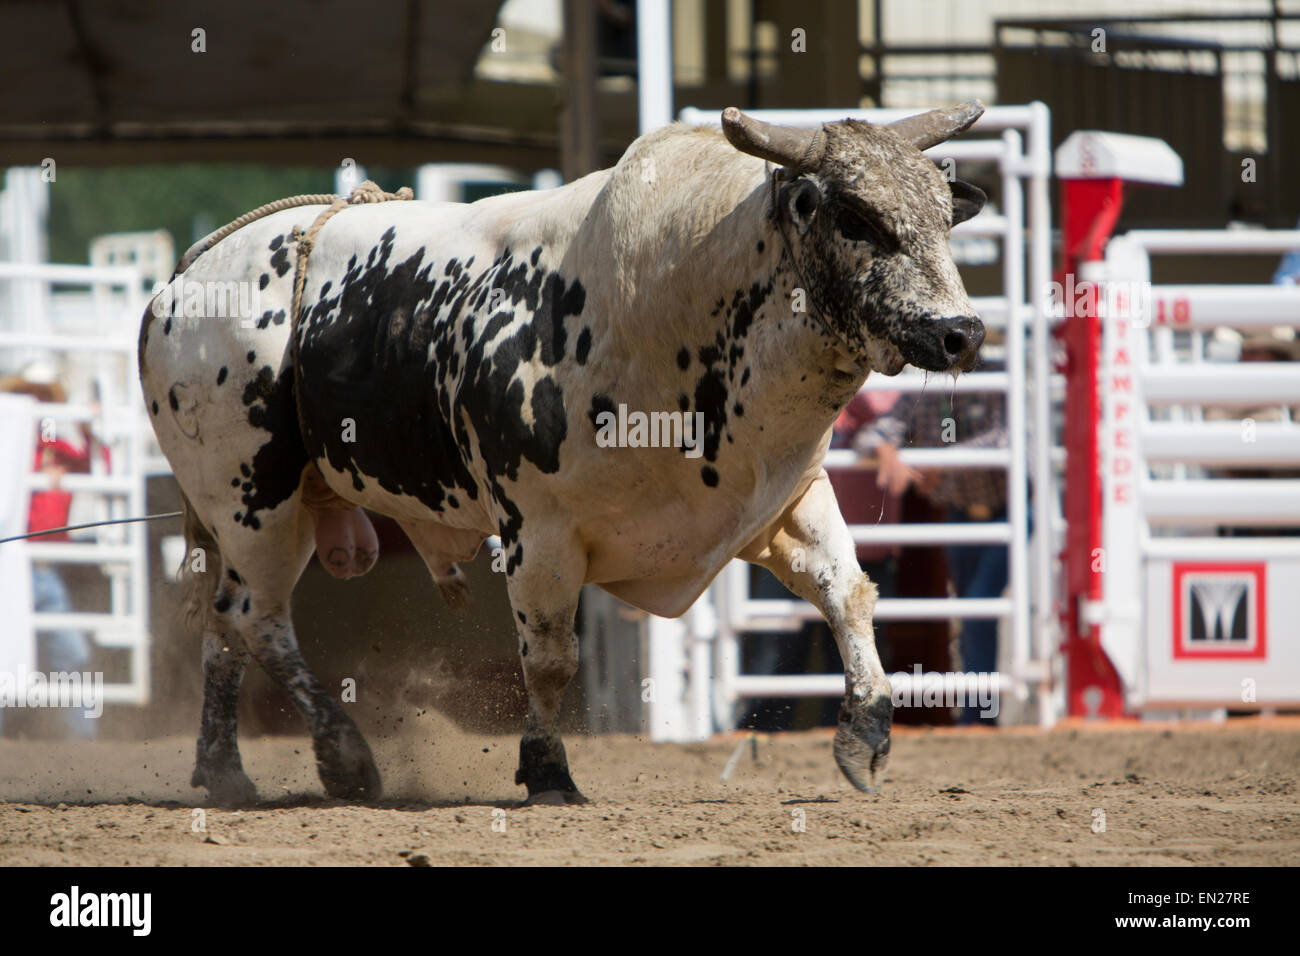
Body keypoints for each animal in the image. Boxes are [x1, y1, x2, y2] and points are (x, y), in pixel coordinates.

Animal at [139, 102, 982, 806]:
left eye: (944, 216)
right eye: (857, 217)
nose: (961, 332)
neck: (666, 301)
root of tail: (181, 282)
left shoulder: (787, 496)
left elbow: (848, 592)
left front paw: (865, 735)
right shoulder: (537, 529)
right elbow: (547, 656)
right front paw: (547, 771)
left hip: (263, 509)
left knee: (225, 625)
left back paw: (224, 771)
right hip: (253, 497)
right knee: (257, 618)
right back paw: (342, 755)